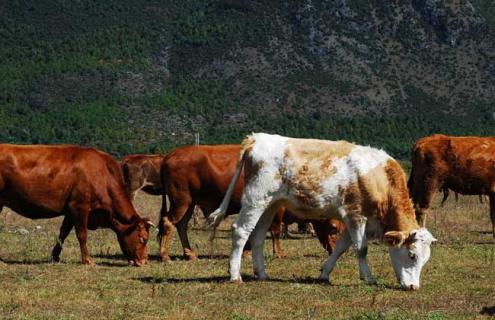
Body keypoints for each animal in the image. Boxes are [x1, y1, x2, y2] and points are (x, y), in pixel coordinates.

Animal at [0, 144, 153, 264]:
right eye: (143, 238)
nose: (144, 261)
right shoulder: (80, 206)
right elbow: (82, 234)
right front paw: (87, 260)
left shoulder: (69, 210)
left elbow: (63, 232)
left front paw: (55, 257)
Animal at [156, 145, 344, 262]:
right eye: (333, 227)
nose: (338, 252)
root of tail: (171, 155)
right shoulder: (276, 210)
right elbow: (275, 231)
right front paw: (279, 253)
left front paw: (246, 252)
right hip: (181, 201)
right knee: (168, 223)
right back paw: (165, 256)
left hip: (189, 204)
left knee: (181, 225)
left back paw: (189, 254)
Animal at [211, 132, 436, 290]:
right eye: (412, 255)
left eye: (425, 260)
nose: (414, 287)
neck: (379, 177)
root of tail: (256, 139)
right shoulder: (355, 215)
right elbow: (361, 249)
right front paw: (368, 277)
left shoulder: (354, 221)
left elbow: (341, 248)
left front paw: (324, 273)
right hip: (255, 199)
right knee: (241, 231)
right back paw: (235, 275)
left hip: (270, 205)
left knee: (257, 236)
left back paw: (262, 274)